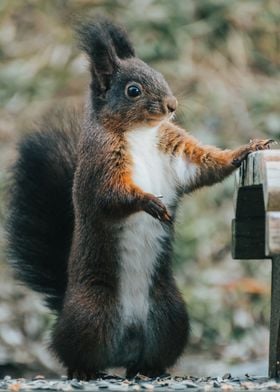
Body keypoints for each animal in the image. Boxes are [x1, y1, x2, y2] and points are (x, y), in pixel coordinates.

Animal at [7, 18, 274, 380]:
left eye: (159, 74)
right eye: (133, 90)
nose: (172, 105)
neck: (141, 133)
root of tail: (126, 341)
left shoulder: (176, 153)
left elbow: (206, 165)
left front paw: (247, 149)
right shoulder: (101, 165)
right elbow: (111, 195)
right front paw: (150, 202)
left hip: (171, 318)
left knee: (148, 357)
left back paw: (151, 370)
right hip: (90, 316)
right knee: (71, 352)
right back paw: (85, 371)